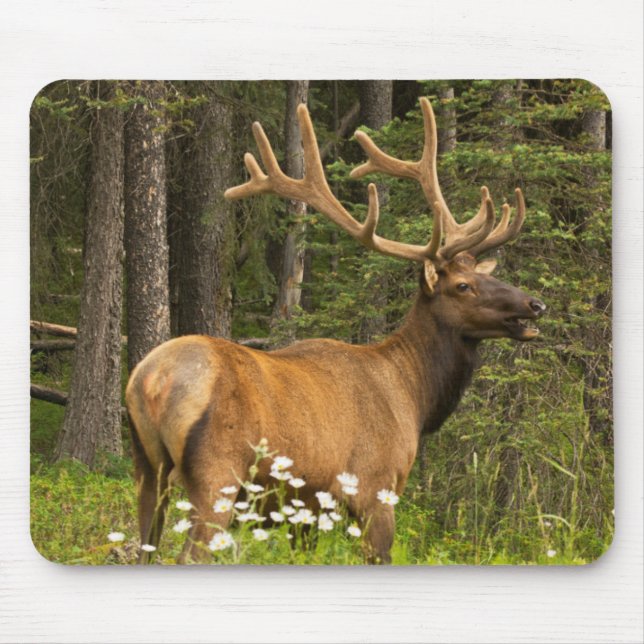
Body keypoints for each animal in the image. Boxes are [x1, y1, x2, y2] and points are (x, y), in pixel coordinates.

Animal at [125, 97, 546, 564]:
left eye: (485, 276)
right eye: (463, 286)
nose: (535, 305)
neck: (414, 396)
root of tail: (151, 381)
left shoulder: (305, 509)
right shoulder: (375, 487)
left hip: (146, 468)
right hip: (217, 474)